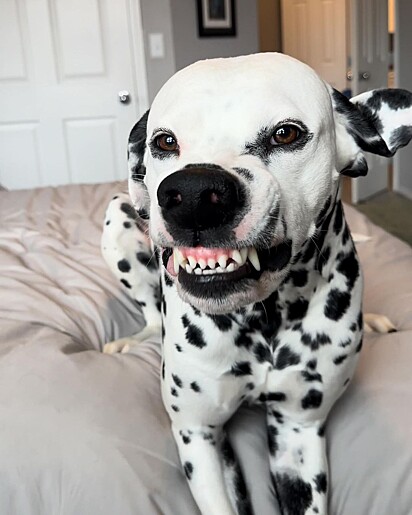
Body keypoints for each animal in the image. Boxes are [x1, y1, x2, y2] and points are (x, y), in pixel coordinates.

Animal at [100, 54, 412, 512]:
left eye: (286, 133)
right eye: (165, 141)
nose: (194, 195)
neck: (265, 319)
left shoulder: (298, 434)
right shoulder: (198, 435)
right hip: (117, 217)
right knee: (150, 314)